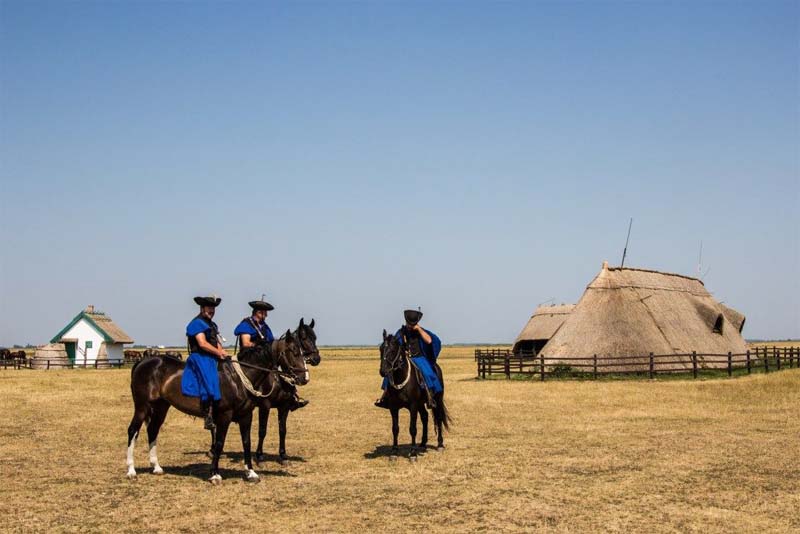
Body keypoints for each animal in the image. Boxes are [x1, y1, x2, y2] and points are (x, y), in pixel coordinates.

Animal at [126, 330, 308, 486]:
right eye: (294, 351)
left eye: (301, 351)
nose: (304, 377)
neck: (238, 378)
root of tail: (143, 362)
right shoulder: (224, 416)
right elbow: (219, 443)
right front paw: (215, 474)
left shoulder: (246, 416)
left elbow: (247, 442)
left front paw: (250, 472)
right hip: (142, 407)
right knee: (133, 430)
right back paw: (131, 470)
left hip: (161, 407)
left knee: (153, 430)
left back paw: (156, 467)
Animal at [380, 328, 450, 462]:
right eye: (381, 349)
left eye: (392, 350)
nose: (383, 371)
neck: (400, 378)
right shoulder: (393, 407)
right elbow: (395, 428)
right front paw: (394, 452)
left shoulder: (412, 406)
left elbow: (412, 428)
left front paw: (413, 453)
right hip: (421, 404)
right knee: (425, 417)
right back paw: (422, 443)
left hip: (437, 400)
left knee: (438, 418)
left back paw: (440, 444)